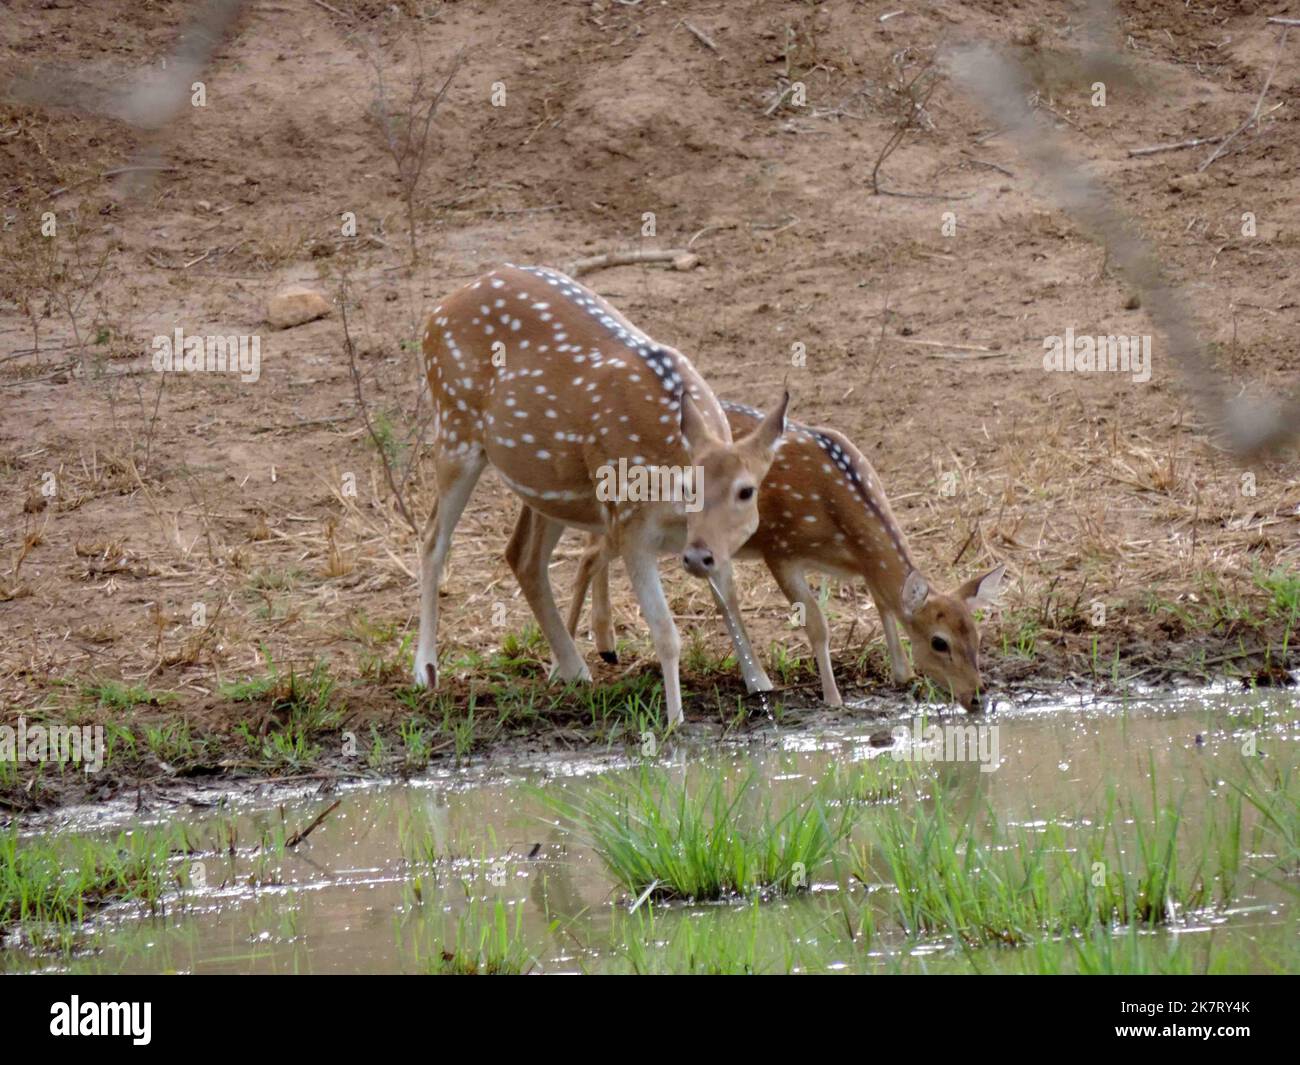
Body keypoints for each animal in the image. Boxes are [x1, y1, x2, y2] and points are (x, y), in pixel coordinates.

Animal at [410, 269, 785, 733]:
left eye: (746, 490)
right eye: (689, 488)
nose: (697, 557)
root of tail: (435, 313)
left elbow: (728, 598)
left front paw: (760, 683)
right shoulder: (629, 523)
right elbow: (665, 631)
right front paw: (675, 720)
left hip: (544, 480)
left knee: (522, 555)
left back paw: (573, 667)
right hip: (454, 426)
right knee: (433, 538)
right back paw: (425, 669)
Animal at [551, 403, 1003, 712]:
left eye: (978, 636)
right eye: (940, 642)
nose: (977, 697)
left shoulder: (861, 567)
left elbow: (884, 605)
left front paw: (902, 672)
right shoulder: (780, 548)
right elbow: (817, 624)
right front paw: (833, 697)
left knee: (594, 548)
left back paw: (605, 647)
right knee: (590, 551)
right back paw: (567, 663)